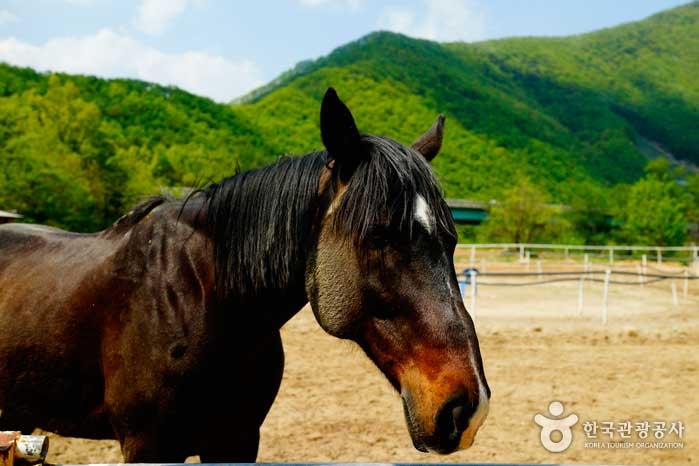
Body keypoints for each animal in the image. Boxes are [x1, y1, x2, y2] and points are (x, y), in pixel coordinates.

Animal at [0, 88, 490, 462]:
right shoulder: (148, 445)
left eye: (451, 240)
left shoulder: (237, 438)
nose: (468, 408)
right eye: (378, 237)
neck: (204, 300)